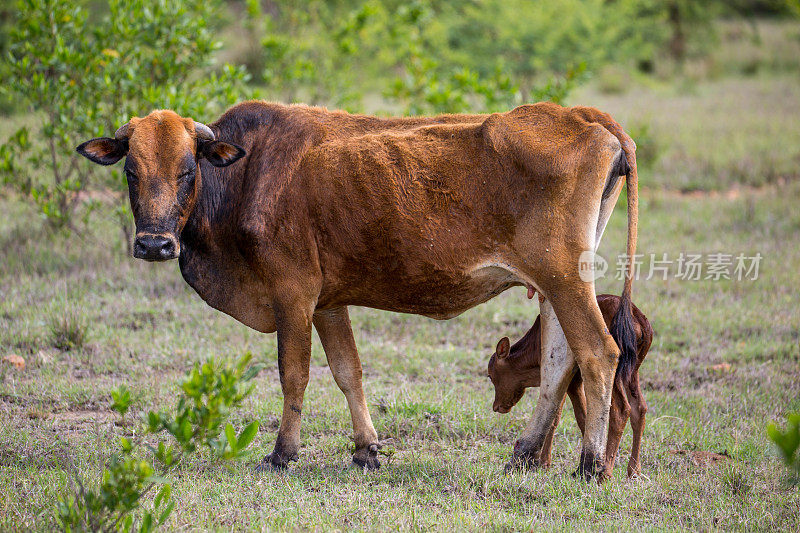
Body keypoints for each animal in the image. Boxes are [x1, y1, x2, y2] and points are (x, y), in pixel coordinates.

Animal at [488, 294, 648, 476]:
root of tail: (637, 320)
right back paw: (633, 470)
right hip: (632, 371)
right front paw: (545, 462)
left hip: (613, 375)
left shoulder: (572, 380)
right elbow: (557, 417)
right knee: (639, 408)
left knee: (621, 411)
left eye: (490, 375)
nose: (497, 406)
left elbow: (579, 417)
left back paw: (605, 472)